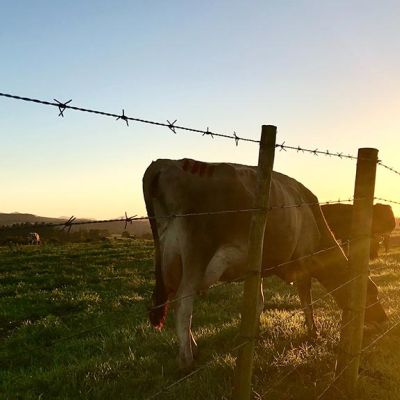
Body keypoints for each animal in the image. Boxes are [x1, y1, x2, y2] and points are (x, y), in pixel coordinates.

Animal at [144, 158, 388, 368]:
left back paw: (192, 347)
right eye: (372, 293)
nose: (383, 320)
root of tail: (164, 163)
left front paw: (253, 333)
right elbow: (306, 300)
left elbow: (259, 302)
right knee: (183, 305)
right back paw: (187, 358)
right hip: (196, 253)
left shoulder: (258, 269)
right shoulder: (303, 260)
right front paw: (313, 332)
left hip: (169, 258)